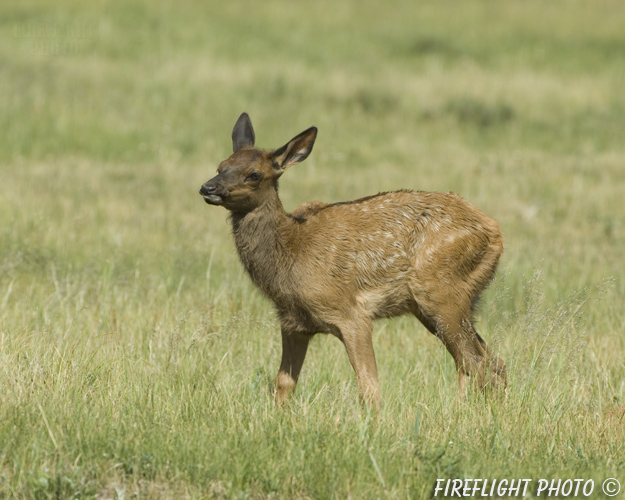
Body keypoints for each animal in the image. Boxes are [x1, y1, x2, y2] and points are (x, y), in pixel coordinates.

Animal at [202, 113, 504, 410]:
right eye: (221, 165)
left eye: (254, 174)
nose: (208, 187)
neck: (290, 254)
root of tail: (495, 231)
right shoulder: (293, 322)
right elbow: (283, 384)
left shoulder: (351, 313)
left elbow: (369, 388)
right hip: (441, 305)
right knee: (489, 361)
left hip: (441, 292)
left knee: (476, 362)